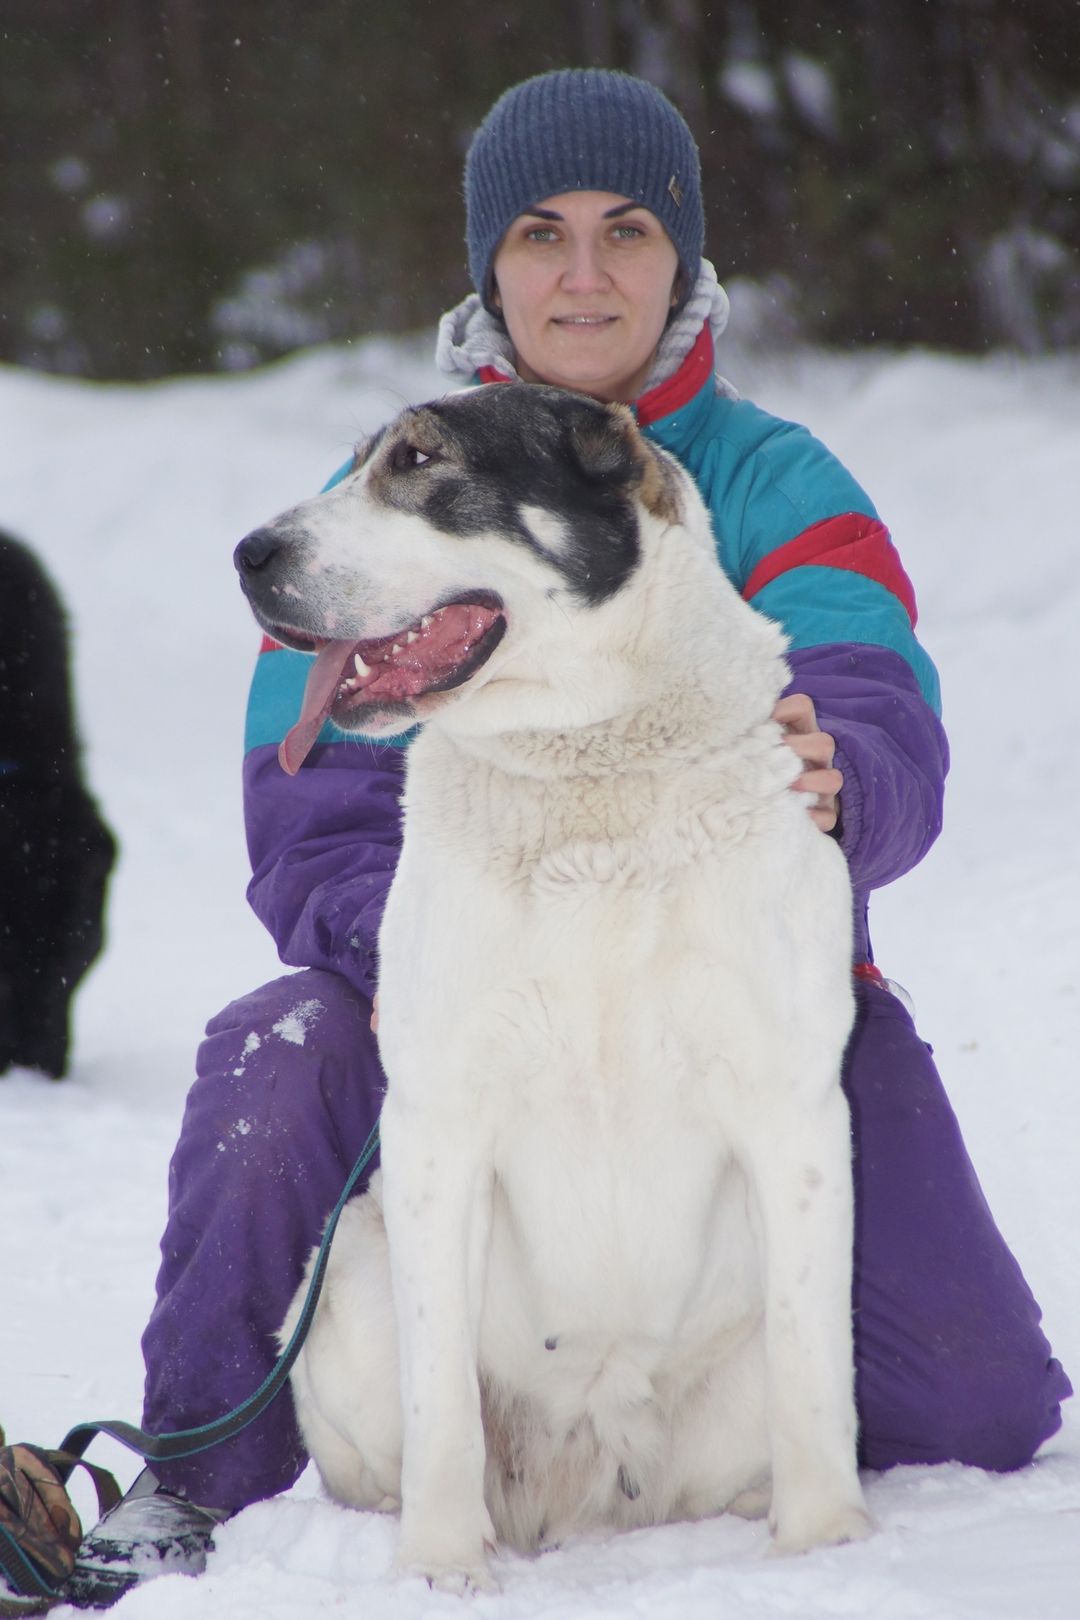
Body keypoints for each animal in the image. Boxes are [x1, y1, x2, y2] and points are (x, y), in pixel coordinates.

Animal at [234, 385, 867, 1587]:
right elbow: (440, 1398)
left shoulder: (793, 1110)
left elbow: (815, 1371)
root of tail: (590, 1479)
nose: (248, 553)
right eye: (359, 462)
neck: (585, 765)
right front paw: (439, 1574)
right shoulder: (439, 1126)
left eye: (418, 460)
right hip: (347, 1287)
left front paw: (823, 1552)